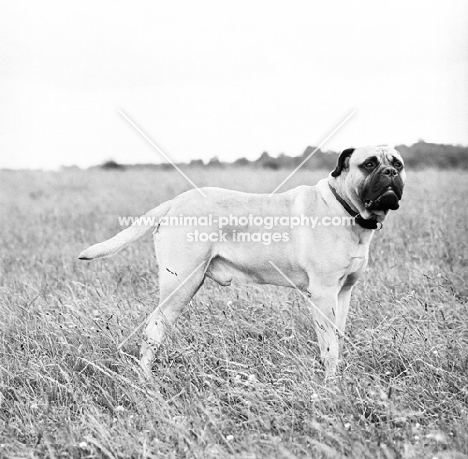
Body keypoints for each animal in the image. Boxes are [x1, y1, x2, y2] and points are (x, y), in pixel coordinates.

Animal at [78, 146, 404, 378]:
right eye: (369, 164)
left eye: (397, 163)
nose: (390, 172)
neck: (345, 207)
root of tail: (174, 203)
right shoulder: (323, 296)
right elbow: (329, 346)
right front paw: (331, 383)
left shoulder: (344, 293)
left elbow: (339, 336)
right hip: (181, 285)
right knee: (153, 329)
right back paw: (146, 379)